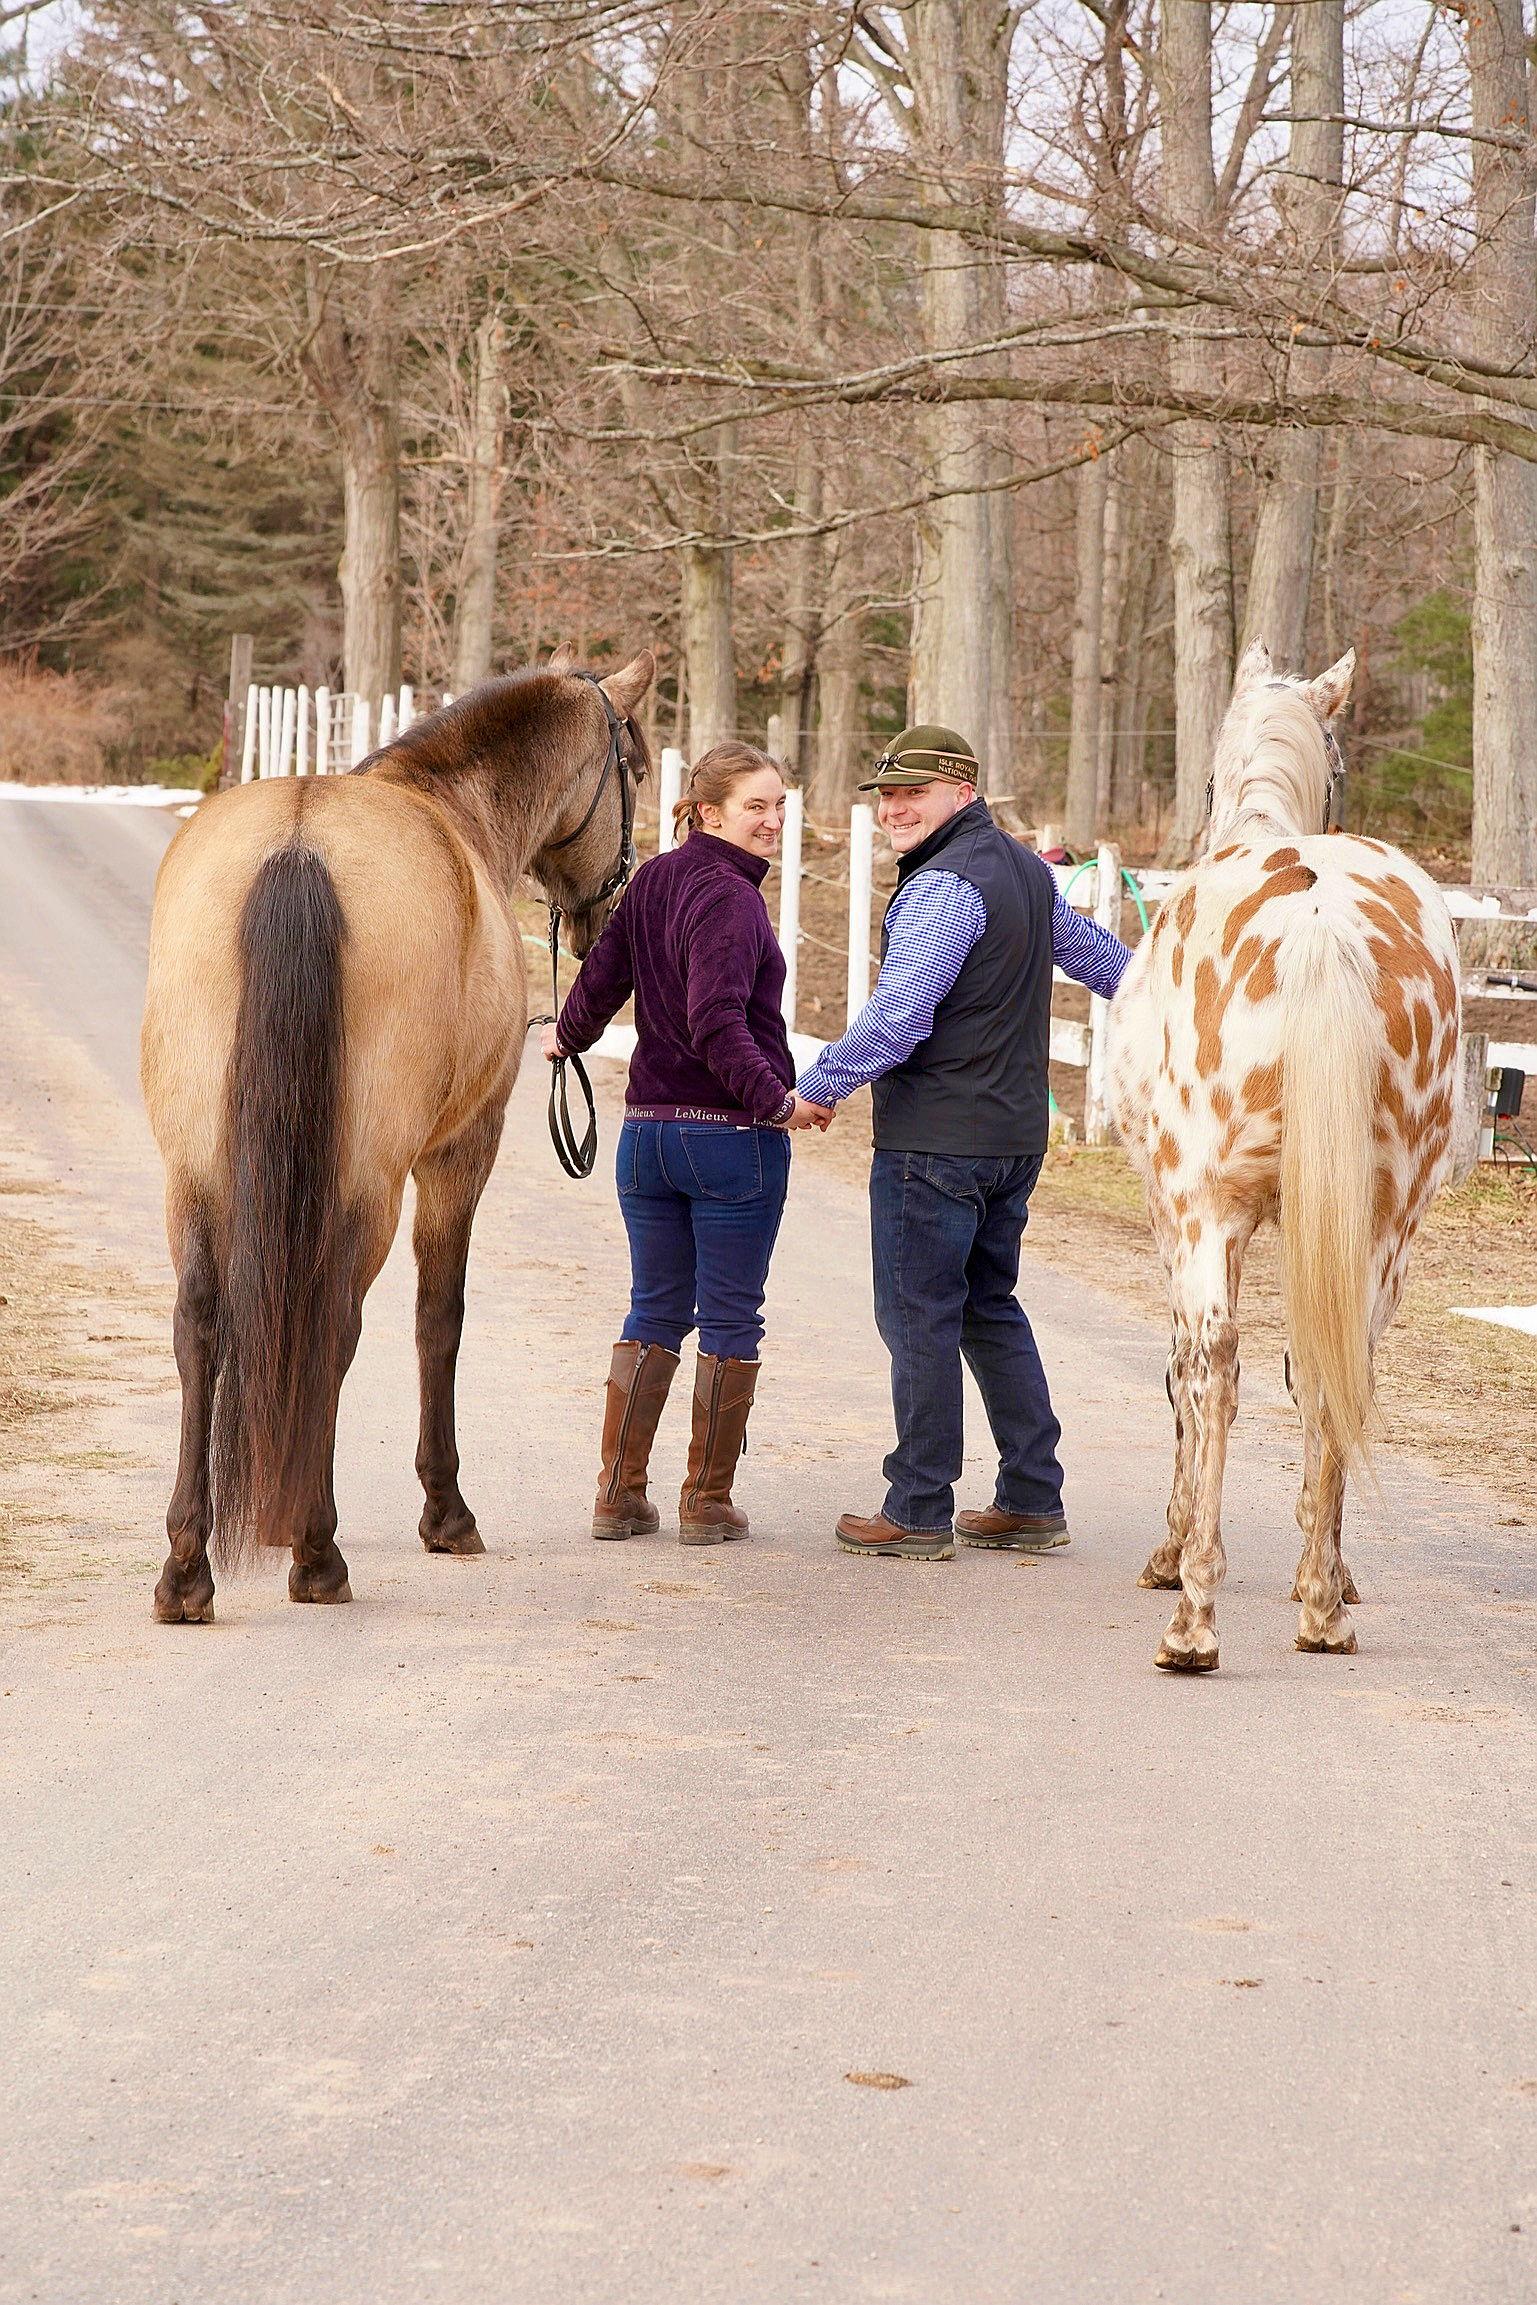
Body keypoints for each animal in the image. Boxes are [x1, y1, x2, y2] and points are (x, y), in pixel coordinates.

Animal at [136, 650, 654, 1622]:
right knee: (334, 1319)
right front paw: (445, 1511)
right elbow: (437, 1318)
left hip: (193, 1172)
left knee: (199, 1325)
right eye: (635, 770)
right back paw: (318, 1552)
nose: (610, 913)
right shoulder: (462, 1150)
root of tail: (298, 845)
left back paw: (188, 1567)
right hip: (365, 1180)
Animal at [1110, 640, 1465, 1668]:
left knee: (1213, 1364)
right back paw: (1320, 1600)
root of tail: (1316, 920)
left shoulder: (1174, 1220)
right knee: (1334, 1369)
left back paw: (1194, 1613)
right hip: (1382, 1228)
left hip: (1207, 1211)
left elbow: (1186, 1376)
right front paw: (1334, 1570)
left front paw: (1173, 1551)